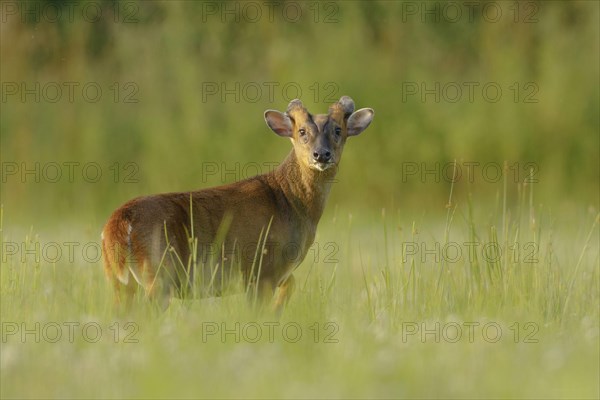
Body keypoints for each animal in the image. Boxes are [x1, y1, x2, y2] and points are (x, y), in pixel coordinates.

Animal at [102, 96, 376, 312]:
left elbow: (291, 284)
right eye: (301, 132)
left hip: (118, 280)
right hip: (160, 273)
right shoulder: (262, 270)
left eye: (338, 130)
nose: (321, 154)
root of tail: (117, 223)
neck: (290, 202)